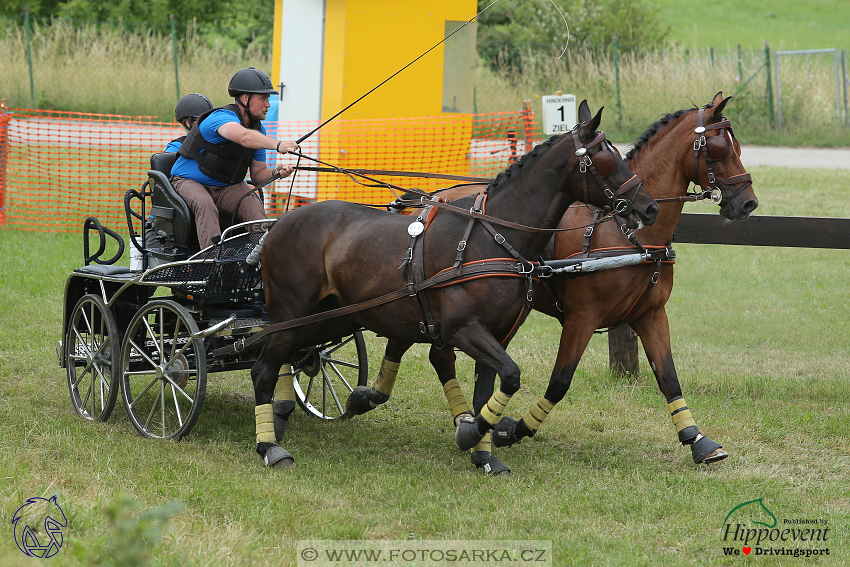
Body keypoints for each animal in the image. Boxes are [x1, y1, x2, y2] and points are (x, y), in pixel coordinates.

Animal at [248, 101, 660, 466]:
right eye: (606, 159)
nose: (650, 207)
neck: (492, 237)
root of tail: (276, 227)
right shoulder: (464, 329)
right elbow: (510, 376)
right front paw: (470, 433)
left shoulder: (498, 334)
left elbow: (489, 390)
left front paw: (484, 454)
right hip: (292, 315)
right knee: (263, 367)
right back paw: (270, 447)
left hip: (332, 318)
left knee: (295, 356)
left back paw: (280, 419)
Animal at [384, 92, 756, 474]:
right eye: (719, 150)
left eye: (737, 147)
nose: (748, 203)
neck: (628, 235)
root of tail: (430, 198)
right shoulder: (582, 317)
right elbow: (560, 381)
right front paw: (514, 430)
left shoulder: (650, 315)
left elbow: (668, 377)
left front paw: (697, 440)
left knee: (436, 353)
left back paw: (464, 421)